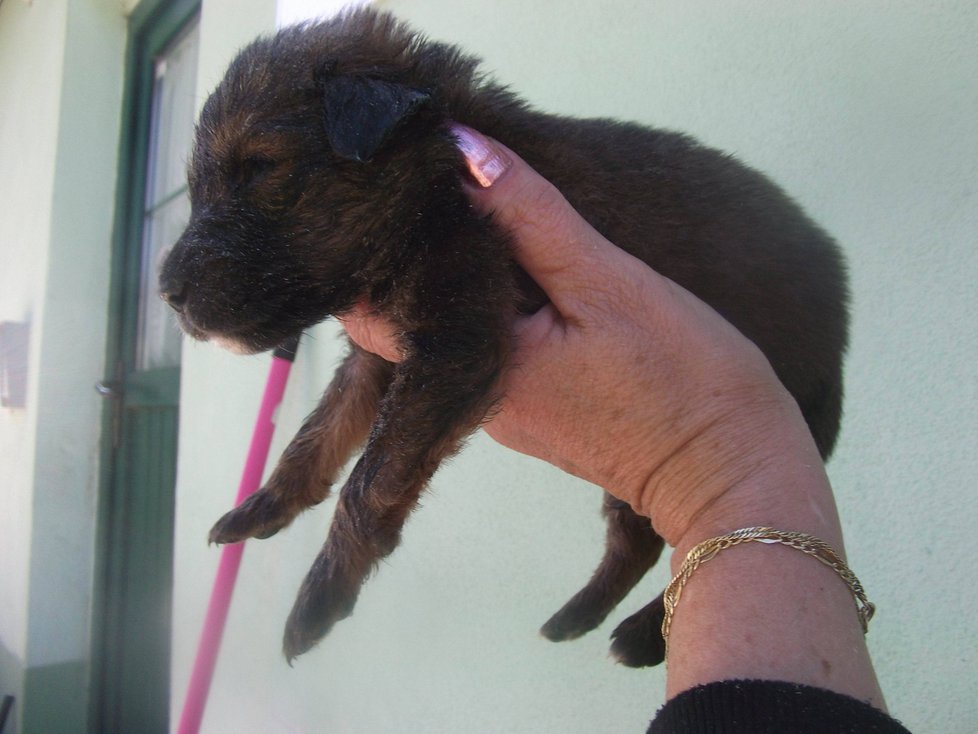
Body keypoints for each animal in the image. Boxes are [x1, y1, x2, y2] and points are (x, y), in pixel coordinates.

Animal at [160, 10, 848, 668]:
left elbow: (369, 481)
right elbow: (315, 437)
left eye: (260, 169)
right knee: (640, 539)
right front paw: (266, 506)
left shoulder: (456, 342)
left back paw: (643, 635)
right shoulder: (376, 359)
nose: (166, 292)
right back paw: (579, 618)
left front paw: (320, 599)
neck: (430, 190)